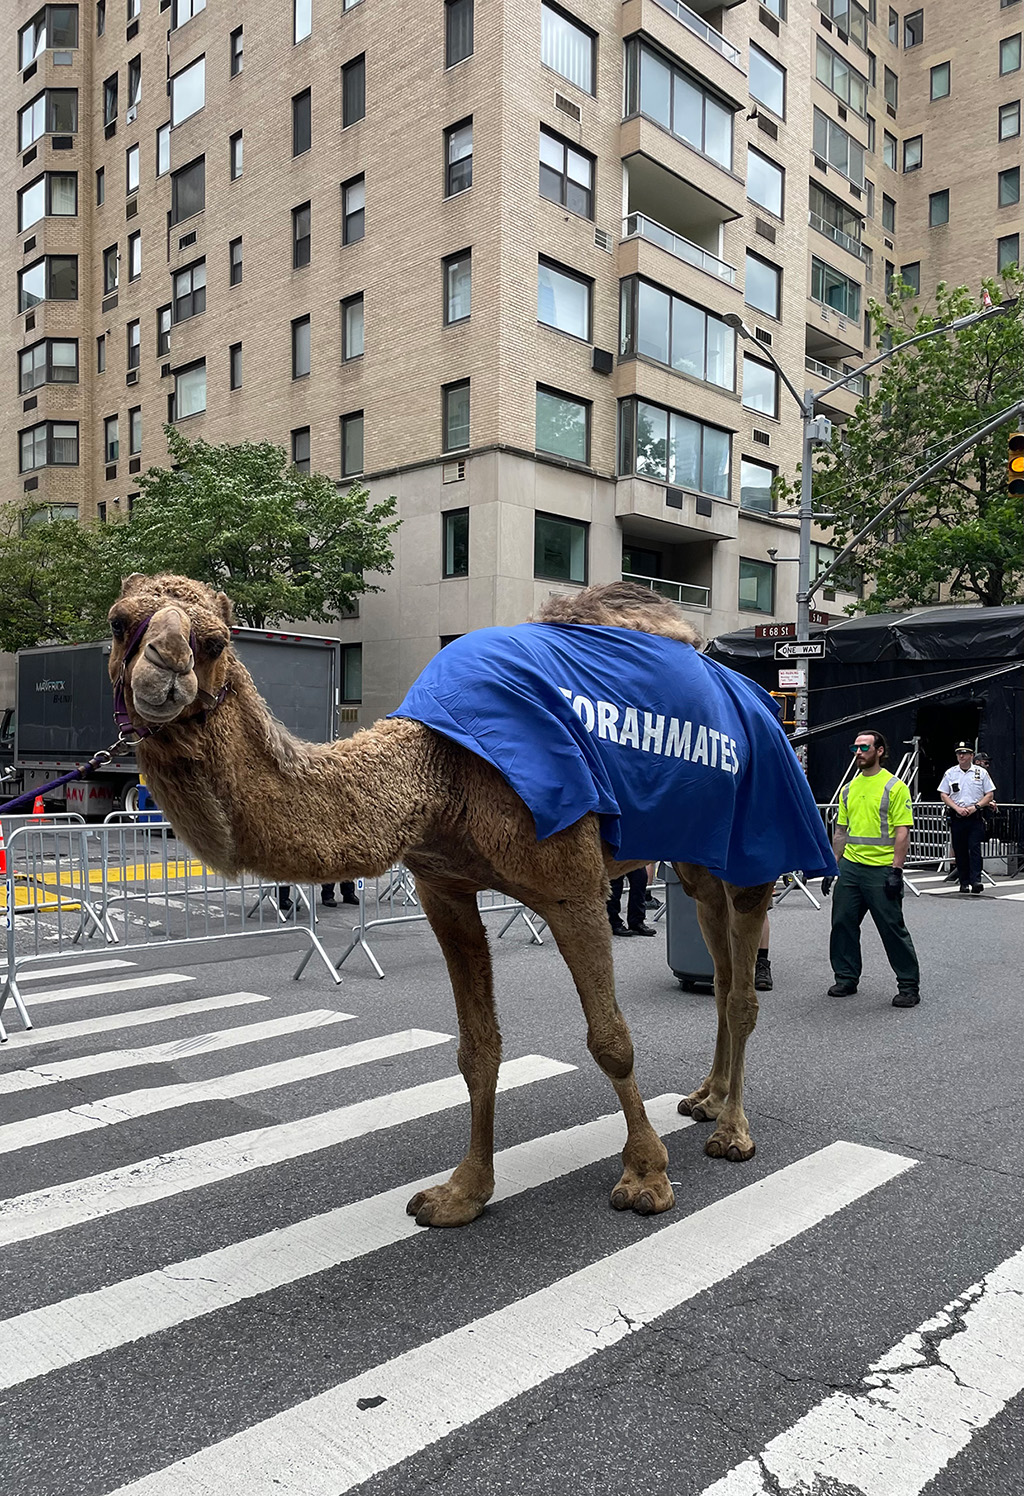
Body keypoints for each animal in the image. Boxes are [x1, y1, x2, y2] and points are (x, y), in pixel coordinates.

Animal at [107, 572, 802, 1230]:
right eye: (117, 622)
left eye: (215, 641)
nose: (165, 664)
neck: (439, 772)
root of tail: (765, 704)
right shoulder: (444, 891)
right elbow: (476, 1047)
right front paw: (462, 1193)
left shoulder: (572, 886)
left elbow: (610, 1039)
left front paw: (646, 1179)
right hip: (695, 856)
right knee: (719, 967)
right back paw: (706, 1098)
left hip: (756, 842)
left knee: (742, 989)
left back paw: (732, 1133)